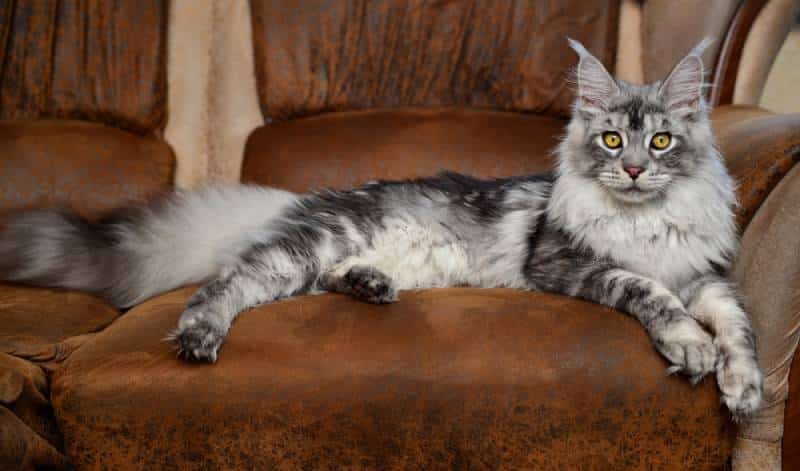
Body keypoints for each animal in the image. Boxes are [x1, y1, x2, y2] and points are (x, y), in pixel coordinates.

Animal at [0, 39, 764, 416]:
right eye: (610, 141)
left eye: (660, 142)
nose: (633, 170)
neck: (647, 224)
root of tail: (304, 197)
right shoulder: (569, 264)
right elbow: (647, 291)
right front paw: (690, 349)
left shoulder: (705, 277)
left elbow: (738, 323)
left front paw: (743, 385)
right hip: (304, 248)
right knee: (226, 283)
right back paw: (199, 336)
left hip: (351, 259)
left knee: (321, 282)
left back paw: (370, 284)